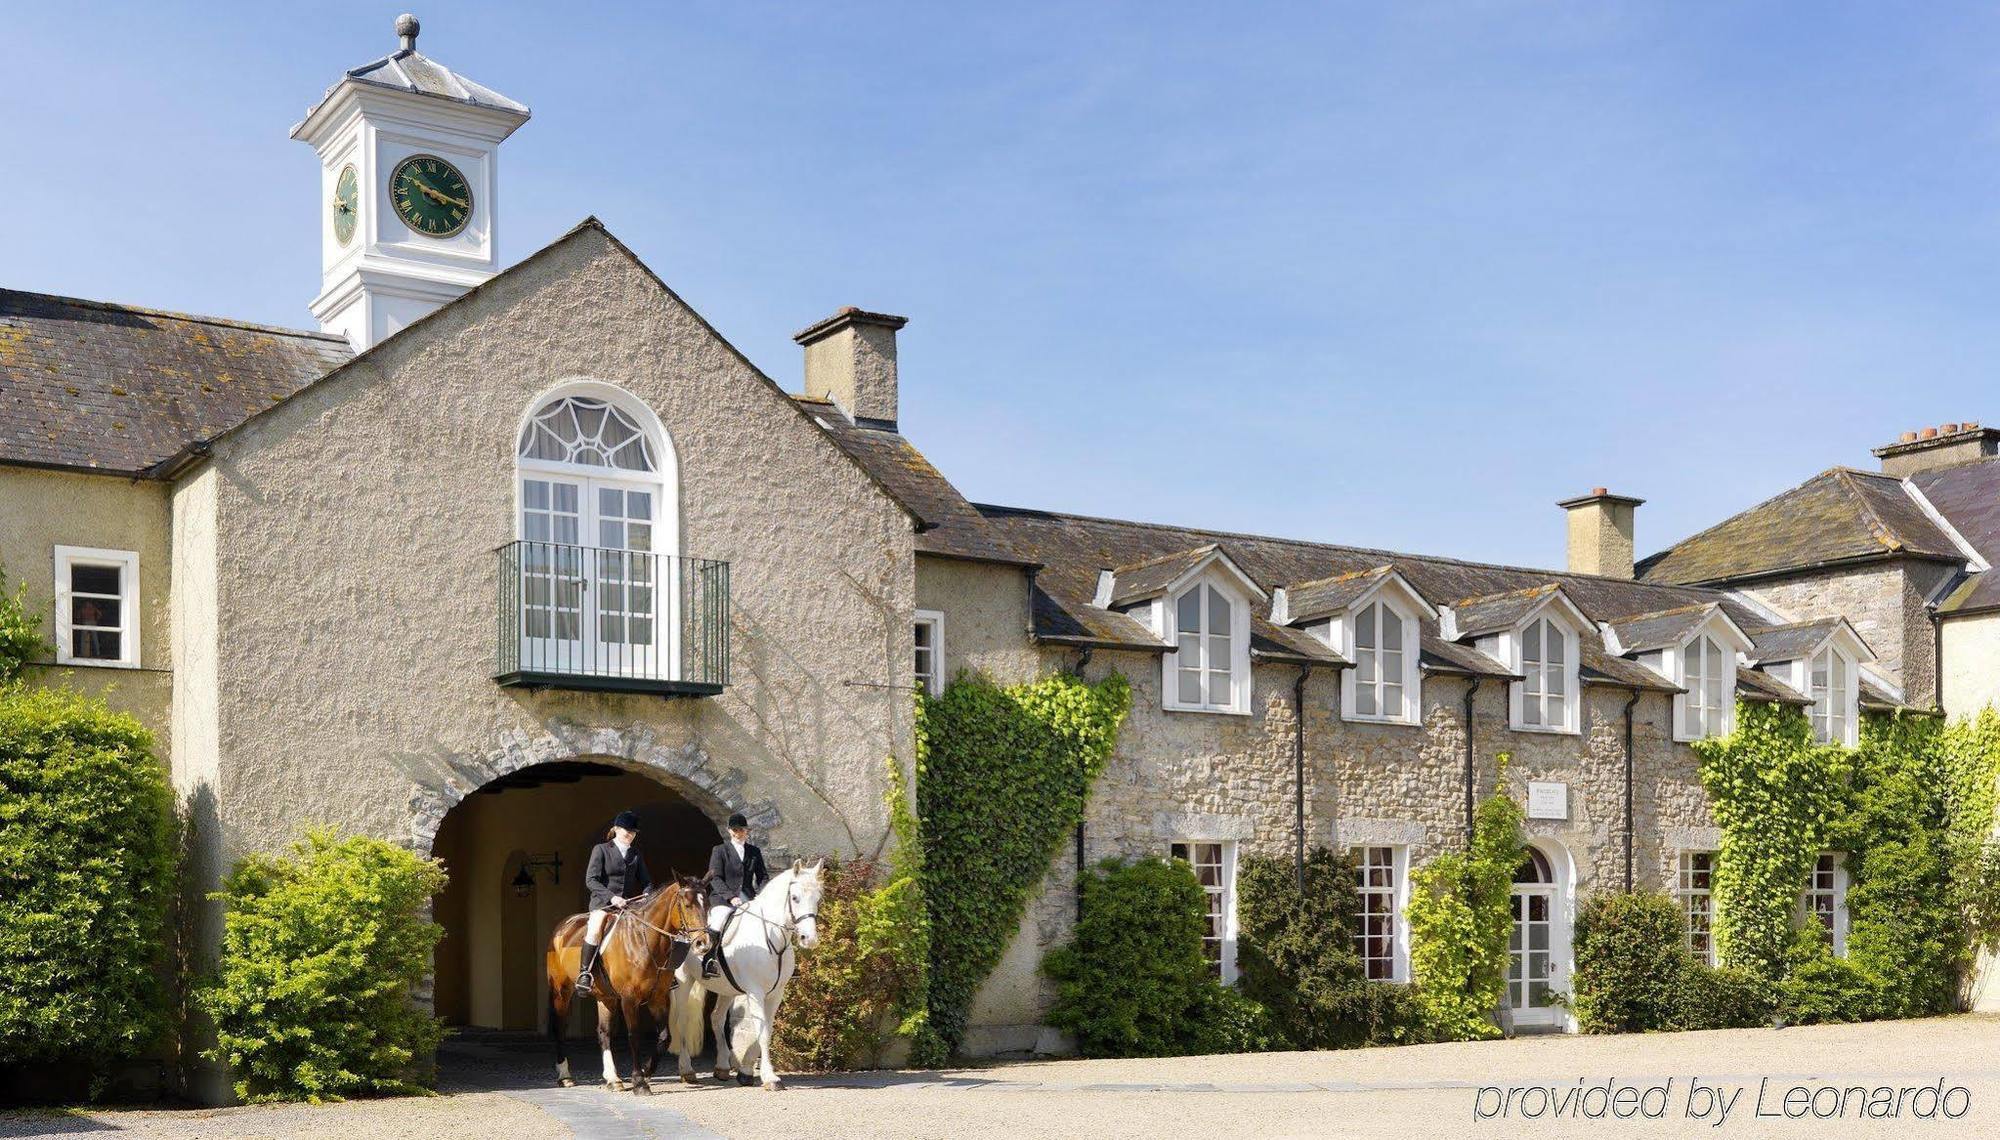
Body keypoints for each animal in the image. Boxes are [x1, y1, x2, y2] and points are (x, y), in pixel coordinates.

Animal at [544, 876, 708, 1088]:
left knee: (604, 1032)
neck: (644, 940)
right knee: (560, 1028)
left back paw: (612, 1078)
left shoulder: (658, 997)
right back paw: (565, 1075)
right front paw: (639, 1081)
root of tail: (563, 925)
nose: (703, 944)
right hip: (561, 991)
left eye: (707, 903)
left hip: (605, 997)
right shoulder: (629, 999)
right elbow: (634, 1036)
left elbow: (665, 1037)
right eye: (687, 905)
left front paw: (647, 1071)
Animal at [668, 856, 824, 1088]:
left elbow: (767, 1029)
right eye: (795, 898)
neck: (771, 939)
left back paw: (722, 1067)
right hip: (684, 981)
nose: (809, 939)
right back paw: (687, 1070)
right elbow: (763, 1032)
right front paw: (770, 1078)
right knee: (682, 1021)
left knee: (716, 1018)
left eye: (818, 899)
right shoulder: (755, 992)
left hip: (725, 988)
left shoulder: (776, 994)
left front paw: (746, 1072)